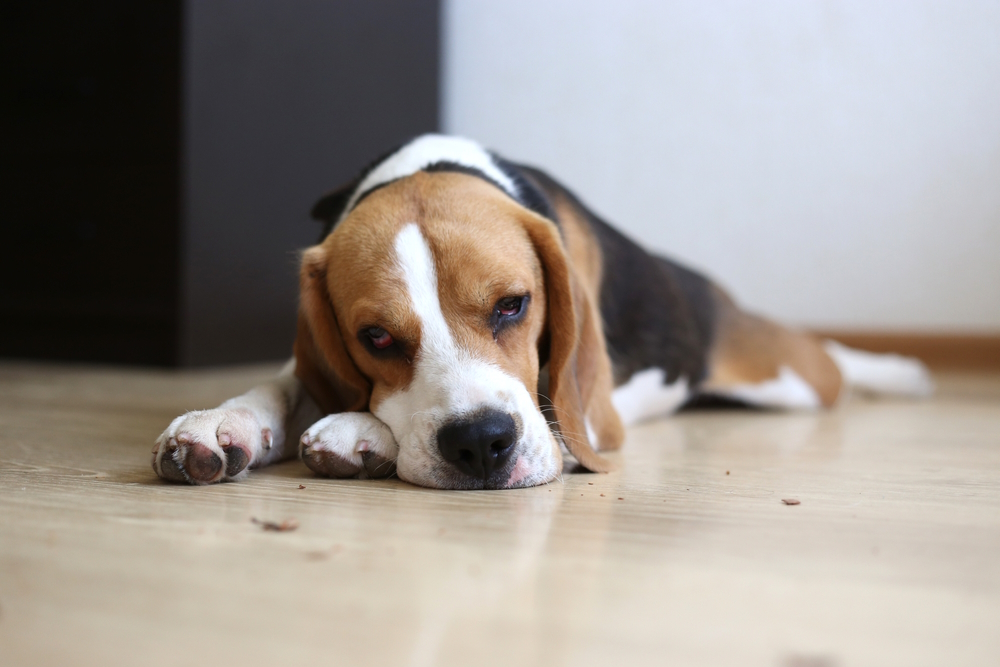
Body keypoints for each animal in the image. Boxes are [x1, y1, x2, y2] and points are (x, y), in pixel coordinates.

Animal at [152, 136, 932, 490]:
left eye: (512, 305)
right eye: (375, 336)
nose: (479, 444)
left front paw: (357, 430)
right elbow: (279, 383)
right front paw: (224, 422)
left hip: (789, 377)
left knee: (833, 361)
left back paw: (900, 371)